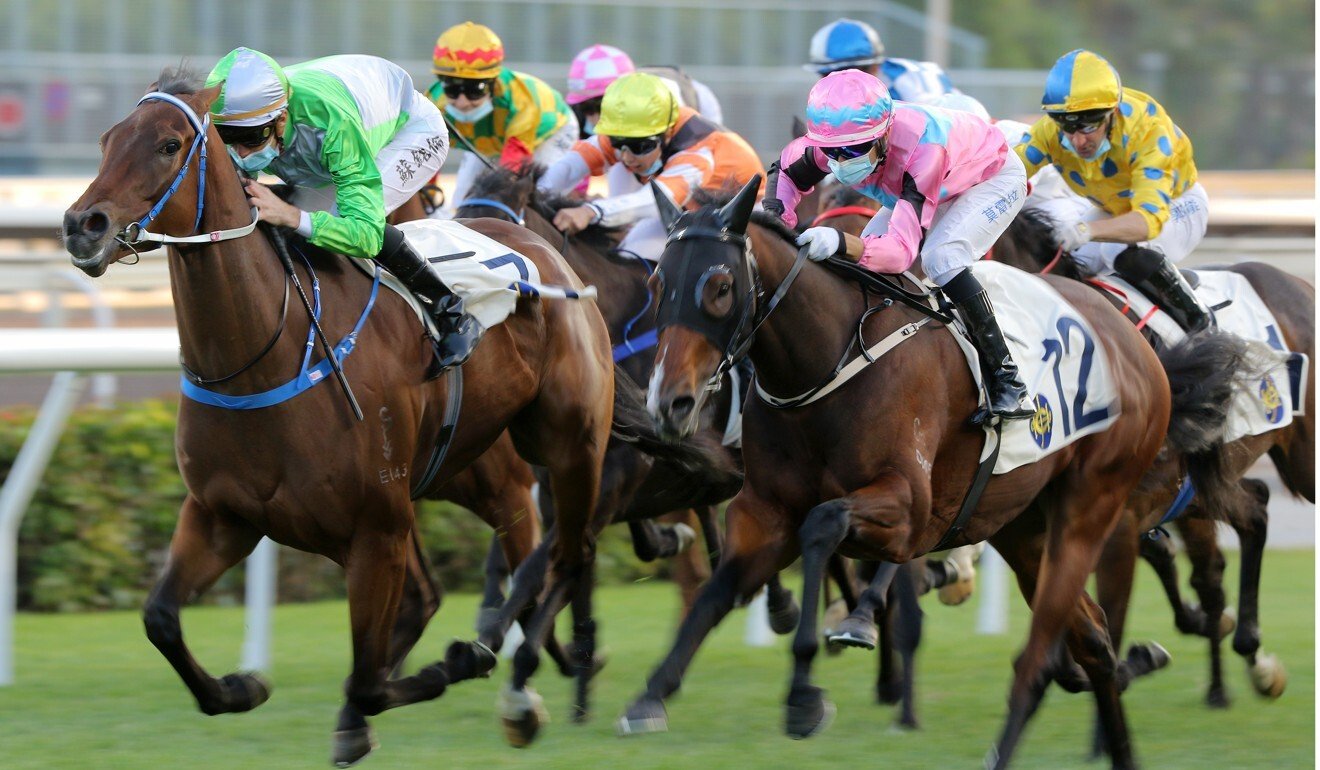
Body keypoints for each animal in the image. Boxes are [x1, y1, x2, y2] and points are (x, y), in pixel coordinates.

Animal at [62, 69, 696, 766]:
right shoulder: (223, 515)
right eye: (106, 140)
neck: (267, 352)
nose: (81, 224)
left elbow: (370, 678)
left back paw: (526, 688)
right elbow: (161, 619)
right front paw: (242, 686)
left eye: (170, 144)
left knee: (567, 552)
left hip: (564, 450)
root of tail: (549, 256)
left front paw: (456, 664)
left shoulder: (377, 528)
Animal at [623, 178, 1251, 766]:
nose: (671, 402)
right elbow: (716, 591)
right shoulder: (764, 511)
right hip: (1021, 527)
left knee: (1067, 639)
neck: (828, 361)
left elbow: (823, 527)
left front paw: (805, 692)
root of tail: (1144, 352)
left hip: (1092, 508)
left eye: (720, 287)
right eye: (656, 286)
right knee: (1094, 639)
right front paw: (651, 694)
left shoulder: (908, 512)